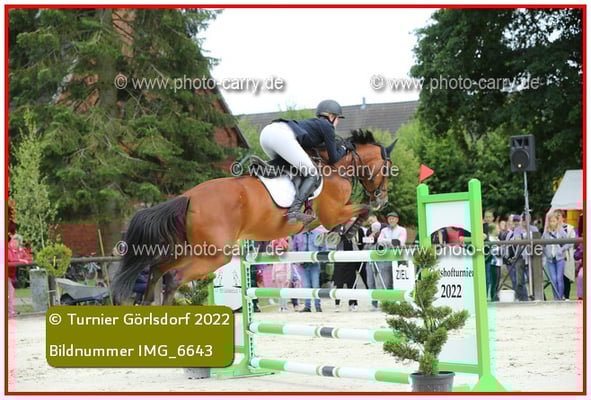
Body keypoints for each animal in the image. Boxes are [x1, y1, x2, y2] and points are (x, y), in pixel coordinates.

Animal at [111, 129, 396, 305]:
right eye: (387, 168)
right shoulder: (332, 212)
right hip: (215, 255)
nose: (382, 198)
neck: (334, 168)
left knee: (157, 268)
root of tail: (189, 197)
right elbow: (361, 210)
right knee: (173, 278)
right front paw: (346, 233)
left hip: (190, 249)